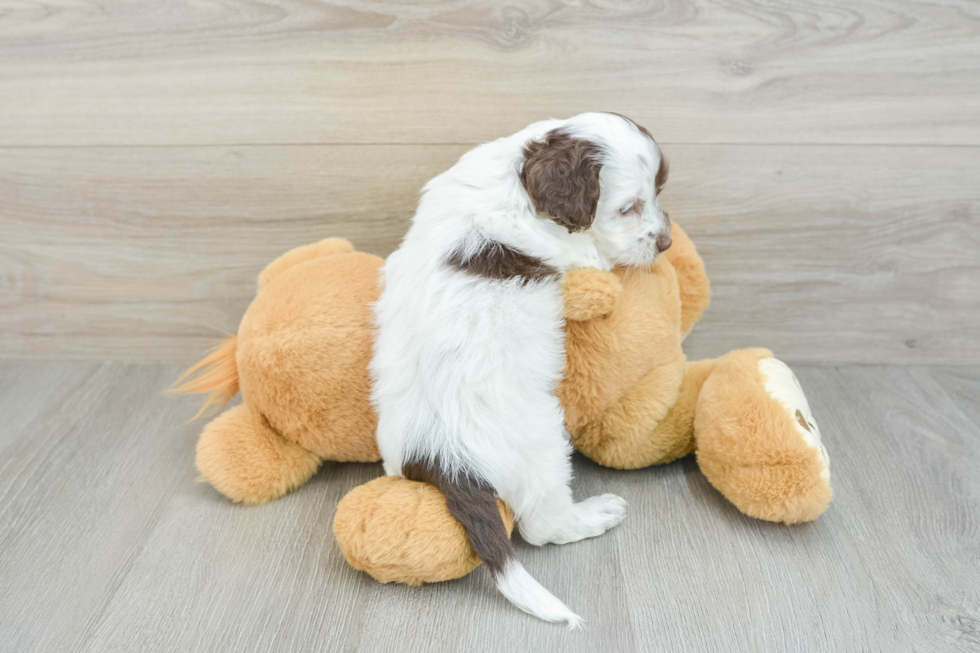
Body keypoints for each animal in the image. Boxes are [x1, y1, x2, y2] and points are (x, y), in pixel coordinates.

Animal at [370, 112, 672, 628]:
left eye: (659, 191)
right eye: (627, 208)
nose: (667, 244)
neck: (517, 180)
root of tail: (441, 456)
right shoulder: (579, 252)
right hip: (543, 449)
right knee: (542, 526)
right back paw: (593, 515)